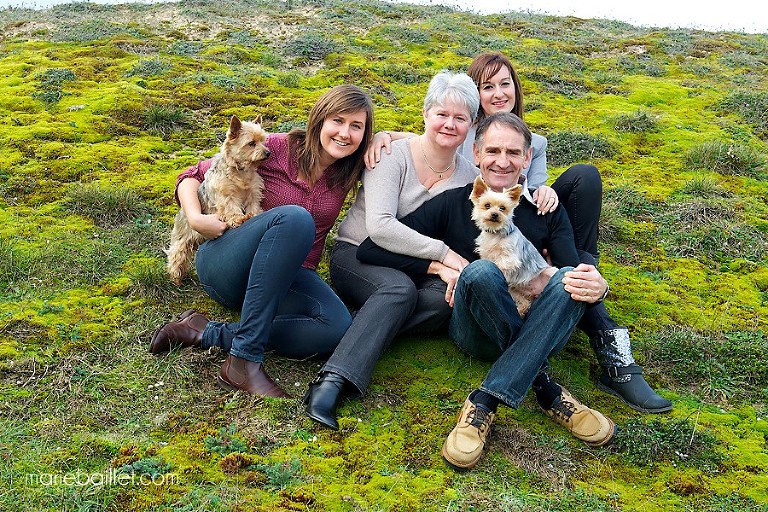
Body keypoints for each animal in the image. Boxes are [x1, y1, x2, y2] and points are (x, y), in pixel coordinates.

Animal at [166, 114, 270, 286]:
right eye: (251, 143)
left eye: (264, 140)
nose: (268, 153)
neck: (240, 170)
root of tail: (181, 211)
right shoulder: (226, 194)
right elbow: (231, 207)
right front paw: (237, 219)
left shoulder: (253, 193)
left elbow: (253, 206)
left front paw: (255, 215)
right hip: (184, 238)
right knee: (177, 254)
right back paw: (176, 278)